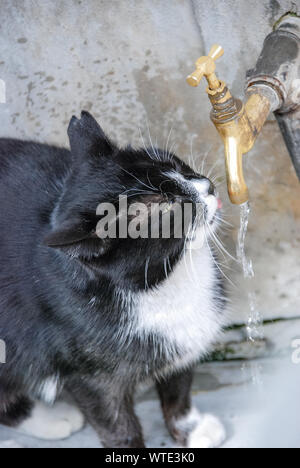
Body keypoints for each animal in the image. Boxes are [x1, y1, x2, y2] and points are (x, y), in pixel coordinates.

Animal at [0, 111, 227, 448]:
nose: (207, 186)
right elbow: (116, 425)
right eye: (164, 206)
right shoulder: (89, 378)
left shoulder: (185, 340)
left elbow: (178, 384)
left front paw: (192, 428)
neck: (162, 283)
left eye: (172, 162)